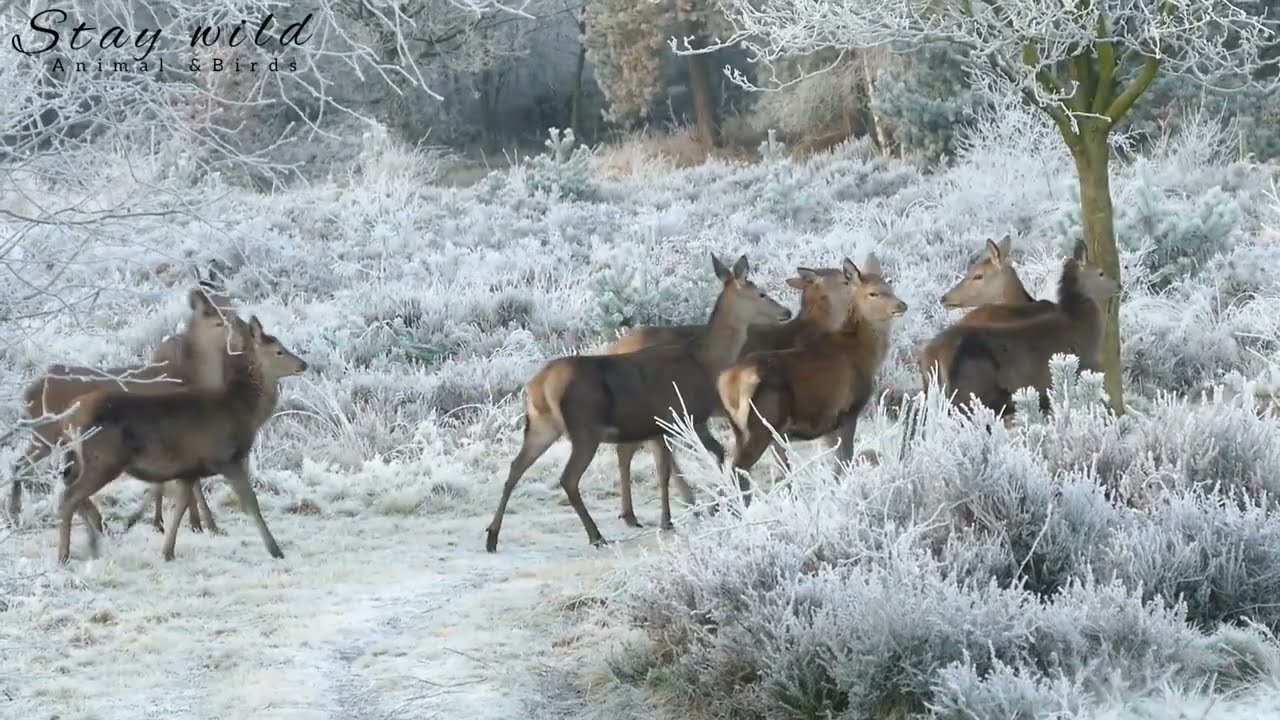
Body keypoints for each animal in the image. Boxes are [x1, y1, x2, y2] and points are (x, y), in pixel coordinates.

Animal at [7, 283, 236, 528]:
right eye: (208, 311)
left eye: (227, 304)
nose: (230, 322)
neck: (190, 376)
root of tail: (28, 392)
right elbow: (190, 483)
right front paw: (203, 524)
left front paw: (173, 522)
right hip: (47, 433)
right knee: (26, 466)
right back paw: (18, 513)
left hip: (55, 438)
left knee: (47, 472)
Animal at [54, 315, 308, 564]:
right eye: (278, 351)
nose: (303, 364)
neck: (243, 411)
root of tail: (70, 417)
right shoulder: (225, 457)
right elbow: (250, 502)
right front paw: (275, 550)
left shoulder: (188, 469)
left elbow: (180, 508)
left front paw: (168, 552)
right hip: (104, 459)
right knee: (69, 497)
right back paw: (65, 555)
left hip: (80, 458)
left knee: (69, 487)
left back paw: (93, 544)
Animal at [484, 253, 792, 552]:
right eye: (761, 293)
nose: (786, 312)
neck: (704, 361)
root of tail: (537, 385)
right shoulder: (676, 417)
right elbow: (681, 466)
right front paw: (684, 515)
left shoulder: (678, 423)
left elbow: (699, 459)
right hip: (584, 428)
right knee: (568, 478)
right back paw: (596, 536)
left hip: (542, 425)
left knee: (516, 467)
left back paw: (492, 536)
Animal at [717, 253, 907, 504]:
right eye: (872, 293)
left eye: (890, 287)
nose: (901, 305)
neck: (864, 354)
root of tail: (728, 382)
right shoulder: (848, 411)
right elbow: (845, 461)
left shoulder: (828, 424)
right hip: (762, 424)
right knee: (738, 471)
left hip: (742, 429)